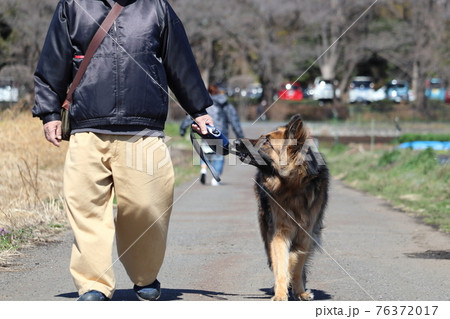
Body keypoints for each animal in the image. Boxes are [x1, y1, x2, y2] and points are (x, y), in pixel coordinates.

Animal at [234, 115, 328, 302]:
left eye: (266, 142)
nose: (236, 141)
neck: (292, 185)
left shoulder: (306, 235)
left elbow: (296, 265)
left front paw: (299, 291)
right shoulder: (280, 232)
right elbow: (281, 264)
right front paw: (280, 293)